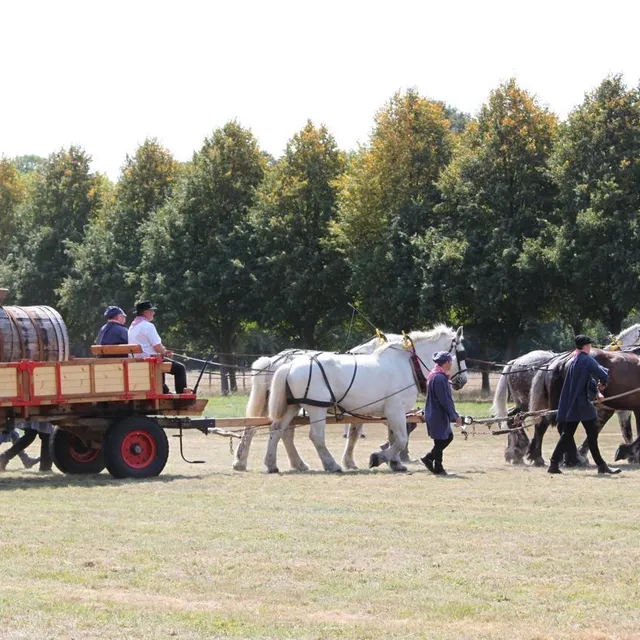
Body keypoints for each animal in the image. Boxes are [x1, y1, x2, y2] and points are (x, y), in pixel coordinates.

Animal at [232, 325, 467, 471]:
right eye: (462, 353)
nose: (462, 380)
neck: (407, 364)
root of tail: (286, 364)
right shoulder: (395, 411)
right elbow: (400, 439)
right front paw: (378, 458)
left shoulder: (388, 413)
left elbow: (390, 438)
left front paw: (394, 463)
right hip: (315, 408)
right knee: (313, 436)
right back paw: (330, 464)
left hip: (293, 406)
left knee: (277, 431)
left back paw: (273, 464)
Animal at [491, 324, 640, 464]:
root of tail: (515, 362)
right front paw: (629, 454)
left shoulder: (614, 408)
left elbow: (617, 430)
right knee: (531, 422)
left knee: (515, 418)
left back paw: (521, 453)